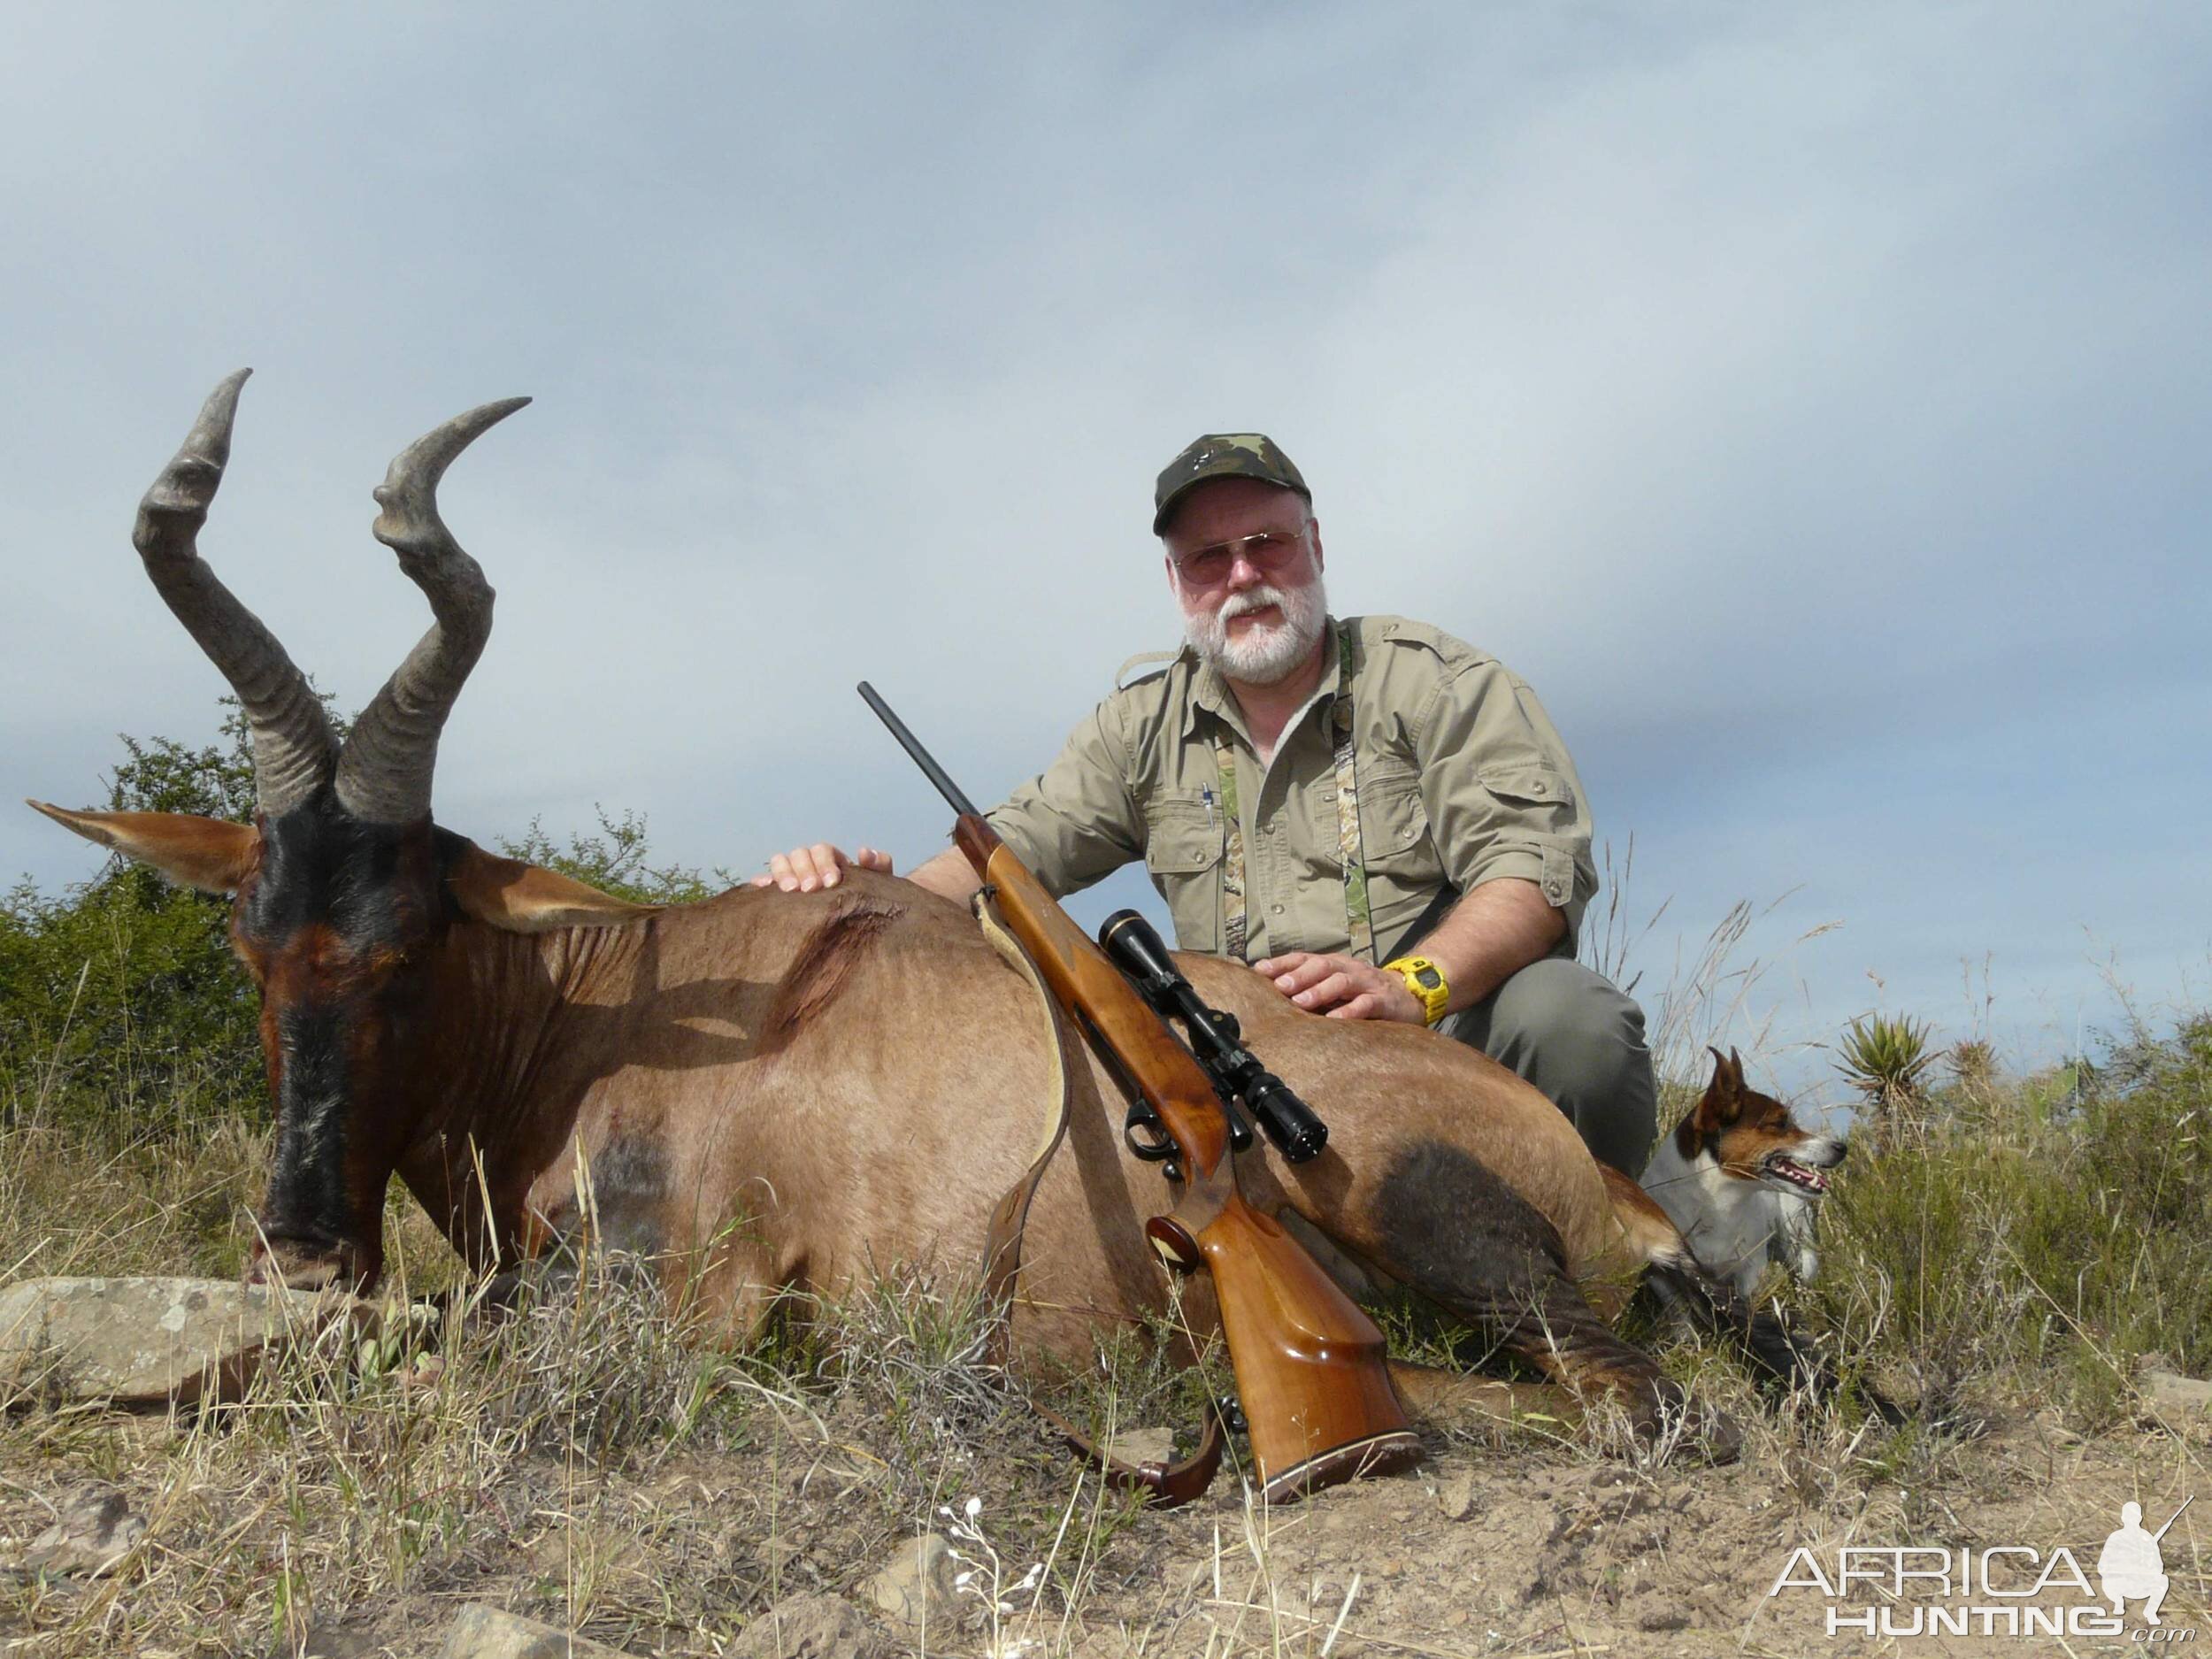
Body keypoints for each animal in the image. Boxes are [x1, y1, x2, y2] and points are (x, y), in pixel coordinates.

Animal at [1646, 1053, 1849, 1301]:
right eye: (1779, 1123)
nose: (1842, 1148)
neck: (1717, 1201)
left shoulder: (1749, 1275)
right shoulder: (1675, 1272)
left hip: (1801, 1253)